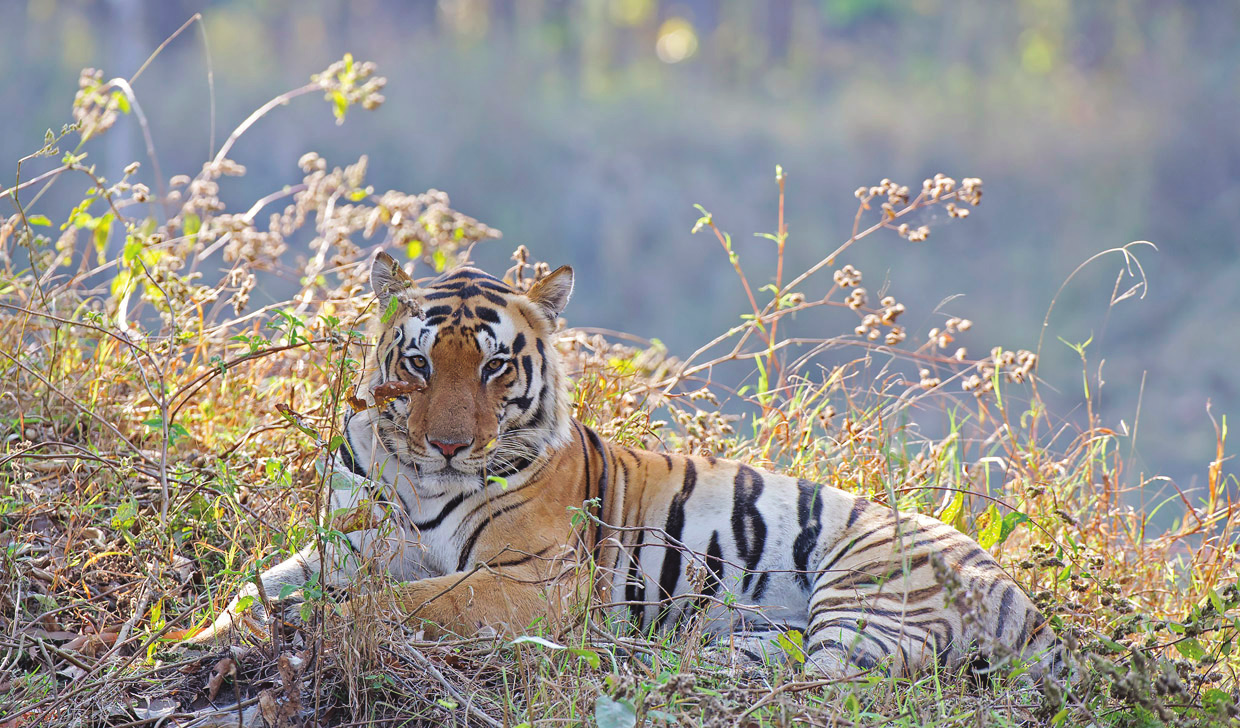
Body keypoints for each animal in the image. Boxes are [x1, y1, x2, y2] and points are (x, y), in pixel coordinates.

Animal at [190, 251, 1066, 684]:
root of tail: (1021, 596)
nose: (448, 444)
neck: (417, 475)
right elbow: (255, 590)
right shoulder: (346, 540)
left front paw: (330, 623)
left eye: (493, 368)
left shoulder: (535, 579)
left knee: (833, 686)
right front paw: (206, 637)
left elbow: (411, 600)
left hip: (866, 591)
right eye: (417, 362)